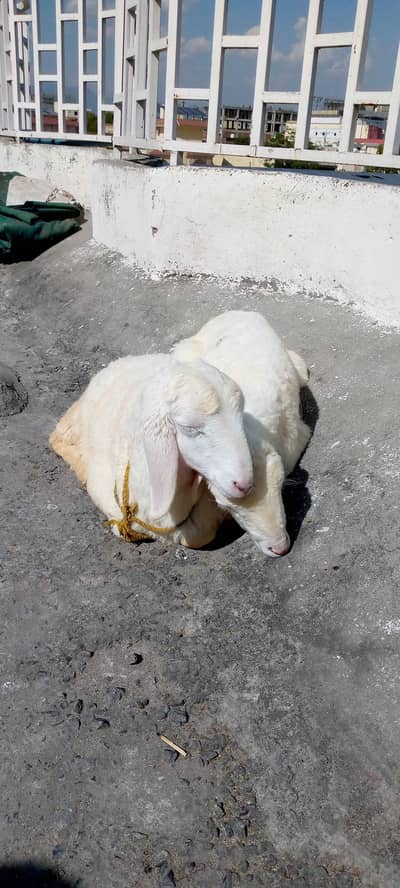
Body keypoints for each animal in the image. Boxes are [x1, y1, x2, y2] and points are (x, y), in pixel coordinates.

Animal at [49, 353, 254, 549]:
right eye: (189, 428)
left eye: (242, 420)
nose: (244, 484)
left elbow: (200, 534)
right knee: (56, 438)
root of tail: (124, 360)